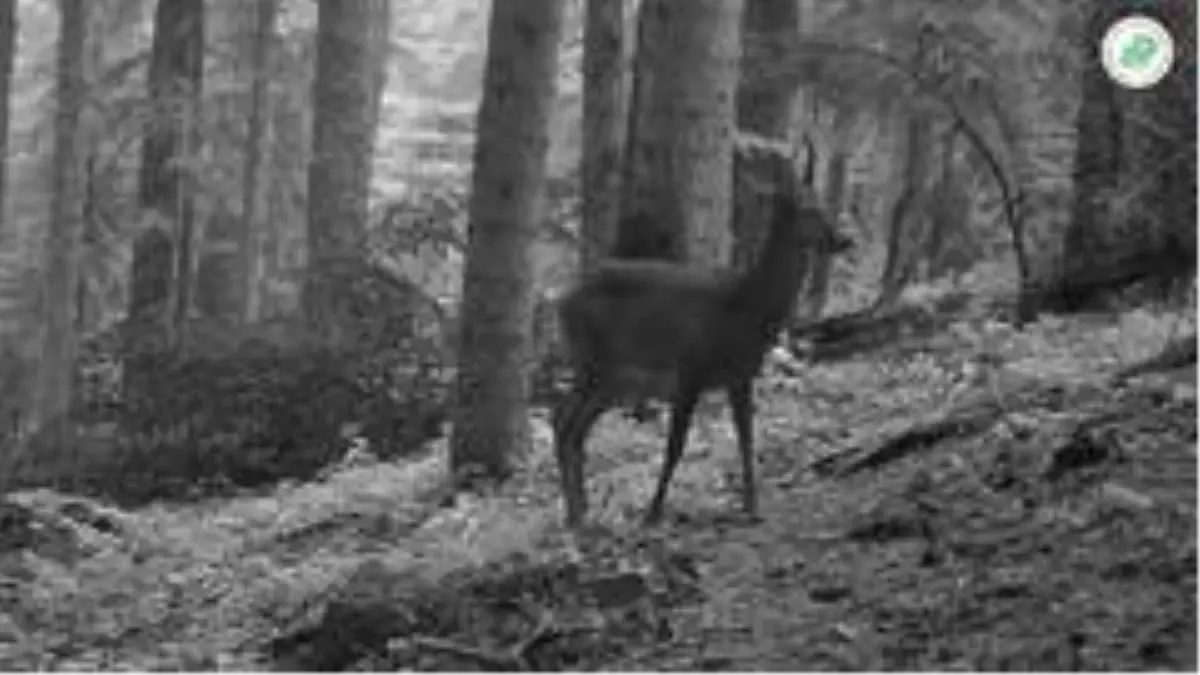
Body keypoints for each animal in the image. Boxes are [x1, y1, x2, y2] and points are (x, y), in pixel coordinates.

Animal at [549, 138, 849, 526]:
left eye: (825, 204)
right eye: (808, 210)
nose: (845, 238)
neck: (744, 308)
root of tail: (562, 298)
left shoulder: (741, 376)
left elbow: (747, 439)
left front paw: (753, 508)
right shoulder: (690, 369)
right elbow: (676, 446)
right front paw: (653, 513)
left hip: (615, 379)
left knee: (574, 426)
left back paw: (582, 513)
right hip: (592, 359)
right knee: (563, 420)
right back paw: (577, 515)